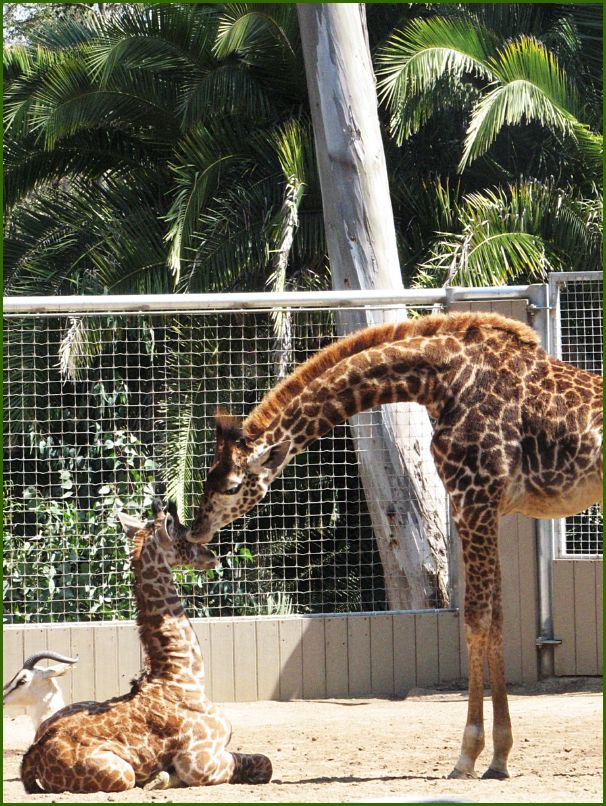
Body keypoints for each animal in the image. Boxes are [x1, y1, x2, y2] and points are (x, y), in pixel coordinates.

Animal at [20, 504, 274, 796]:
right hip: (121, 773)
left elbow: (263, 761)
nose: (212, 557)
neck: (183, 676)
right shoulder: (198, 762)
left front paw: (159, 777)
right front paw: (159, 778)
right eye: (182, 538)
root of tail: (34, 755)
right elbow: (264, 764)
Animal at [185, 310, 604, 784]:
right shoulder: (490, 506)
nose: (195, 529)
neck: (442, 381)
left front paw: (468, 756)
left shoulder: (473, 497)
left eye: (230, 486)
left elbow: (476, 617)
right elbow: (496, 616)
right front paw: (500, 757)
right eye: (207, 478)